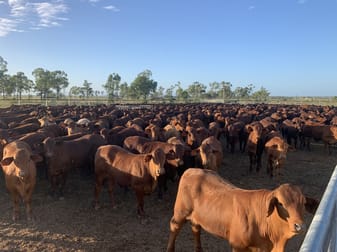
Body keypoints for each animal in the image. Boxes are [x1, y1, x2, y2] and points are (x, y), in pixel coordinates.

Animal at [166, 167, 318, 252]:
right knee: (174, 227)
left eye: (303, 203)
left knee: (196, 229)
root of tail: (193, 170)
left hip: (197, 217)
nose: (299, 226)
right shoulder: (237, 246)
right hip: (180, 213)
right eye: (281, 203)